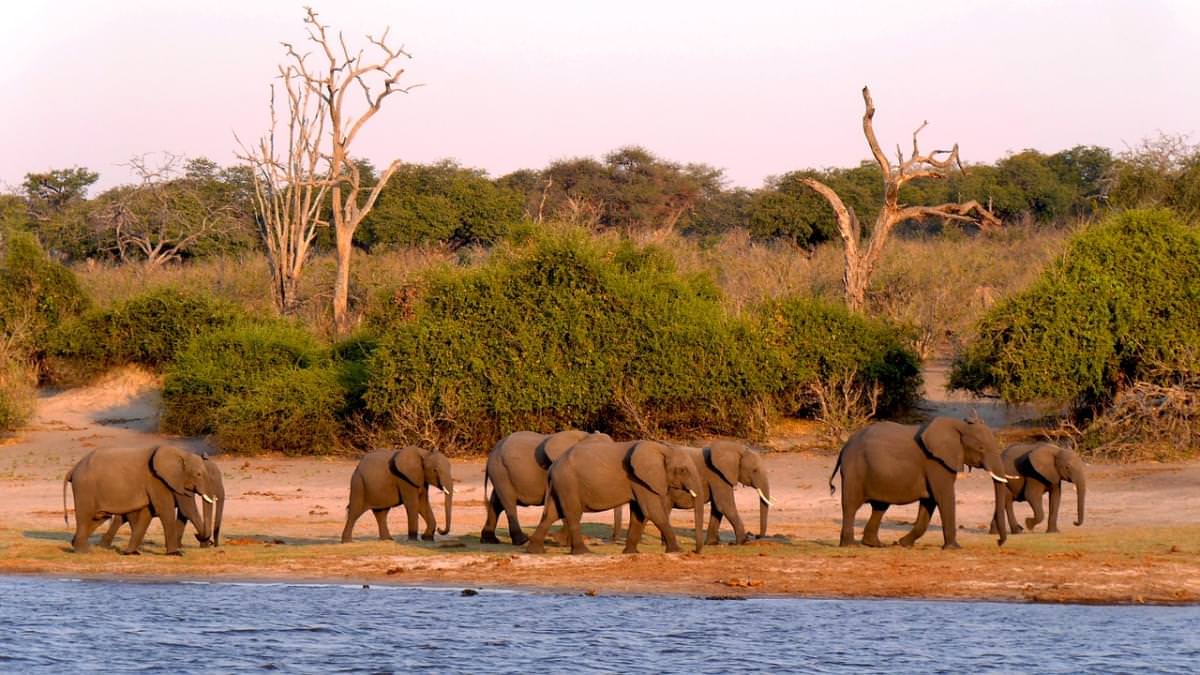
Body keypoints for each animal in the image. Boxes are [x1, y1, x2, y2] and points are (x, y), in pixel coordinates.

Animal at [62, 446, 216, 552]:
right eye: (198, 474)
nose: (207, 541)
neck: (180, 453)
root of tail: (73, 469)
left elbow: (148, 512)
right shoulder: (156, 480)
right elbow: (166, 510)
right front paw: (175, 553)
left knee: (98, 517)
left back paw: (78, 546)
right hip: (84, 487)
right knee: (85, 515)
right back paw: (84, 551)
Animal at [480, 427, 619, 542]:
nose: (611, 539)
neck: (584, 436)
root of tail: (492, 452)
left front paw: (561, 541)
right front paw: (562, 542)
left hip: (501, 473)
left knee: (496, 503)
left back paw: (490, 540)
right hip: (501, 471)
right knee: (508, 502)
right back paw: (522, 541)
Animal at [525, 437, 700, 552]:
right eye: (682, 470)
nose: (695, 552)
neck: (661, 448)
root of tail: (553, 466)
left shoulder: (639, 480)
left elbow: (638, 514)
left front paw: (630, 553)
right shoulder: (639, 478)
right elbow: (653, 511)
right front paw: (677, 551)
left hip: (561, 484)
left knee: (551, 514)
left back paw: (535, 551)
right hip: (568, 483)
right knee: (572, 514)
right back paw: (584, 552)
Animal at [835, 415, 1012, 547]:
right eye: (981, 448)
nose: (998, 542)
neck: (958, 425)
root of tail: (845, 446)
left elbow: (930, 501)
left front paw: (903, 543)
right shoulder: (935, 462)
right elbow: (944, 497)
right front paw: (954, 547)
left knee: (880, 507)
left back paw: (875, 544)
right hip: (855, 469)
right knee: (851, 505)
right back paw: (851, 545)